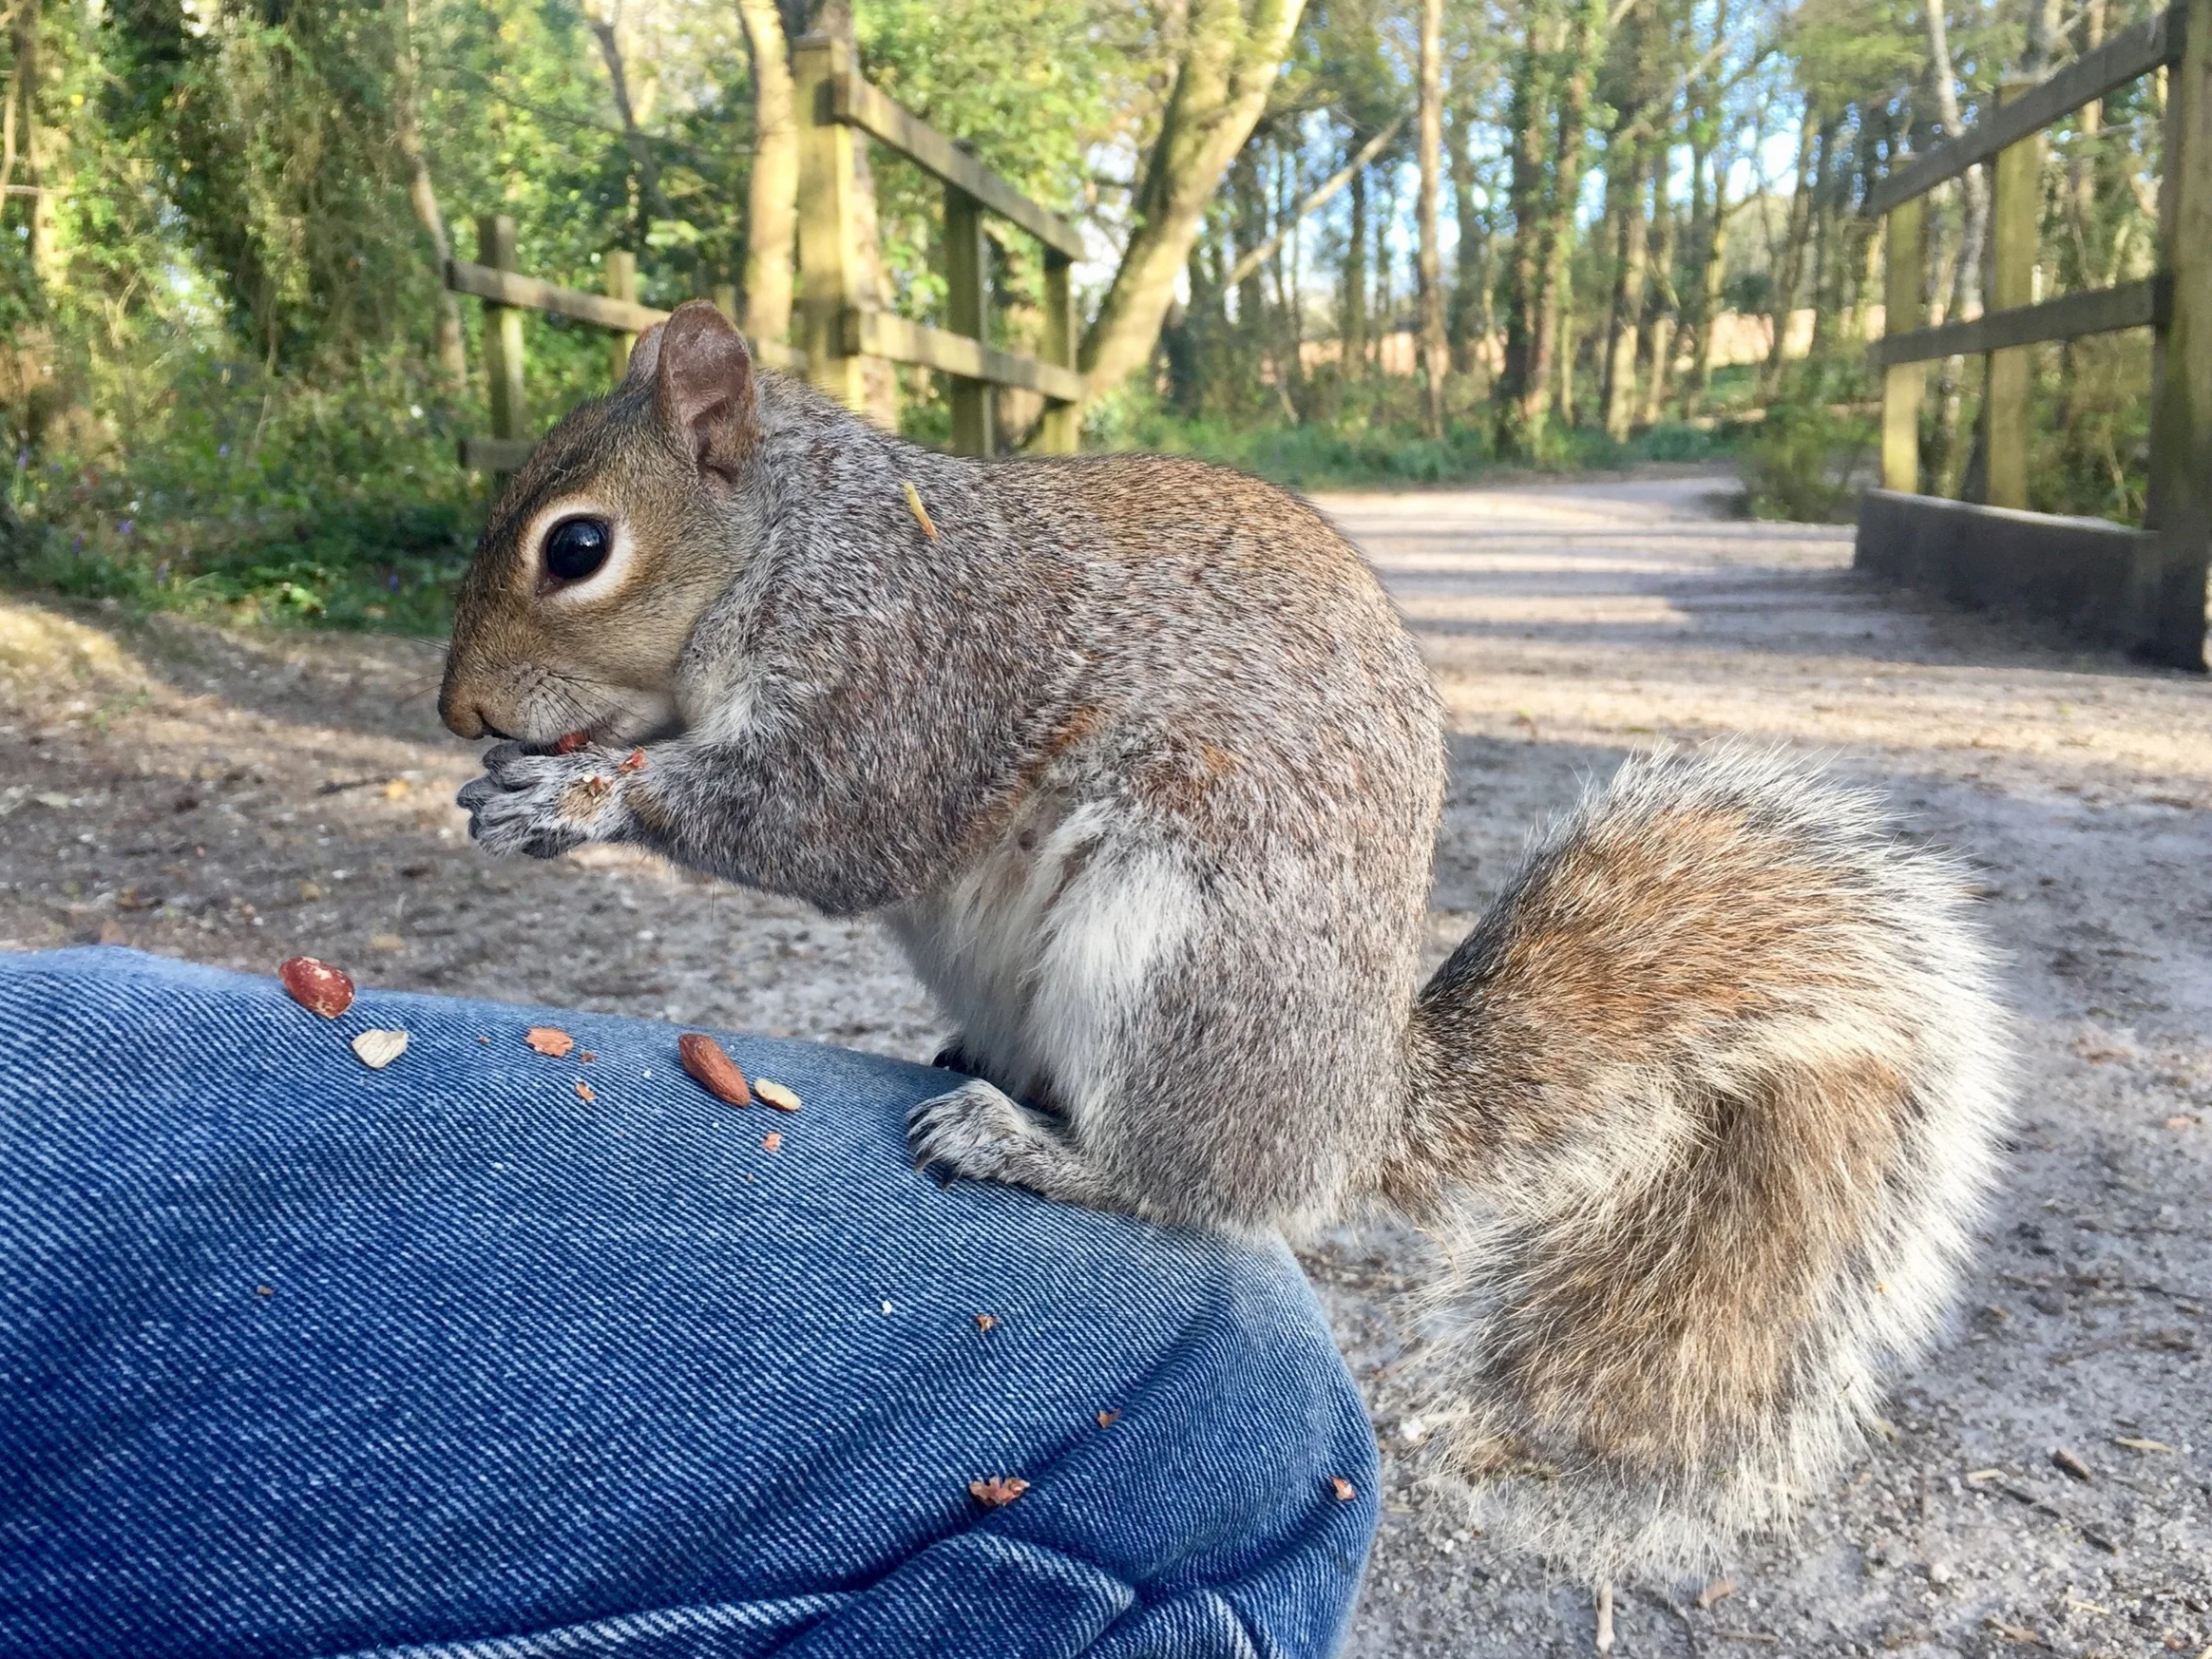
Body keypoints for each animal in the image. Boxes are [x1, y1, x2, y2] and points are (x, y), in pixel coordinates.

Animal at [441, 301, 2010, 1589]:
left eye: (576, 546)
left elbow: (833, 827)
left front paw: (576, 798)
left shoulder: (906, 673)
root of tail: (1359, 1099)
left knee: (1188, 1188)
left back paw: (1028, 1143)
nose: (460, 712)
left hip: (1173, 961)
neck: (796, 541)